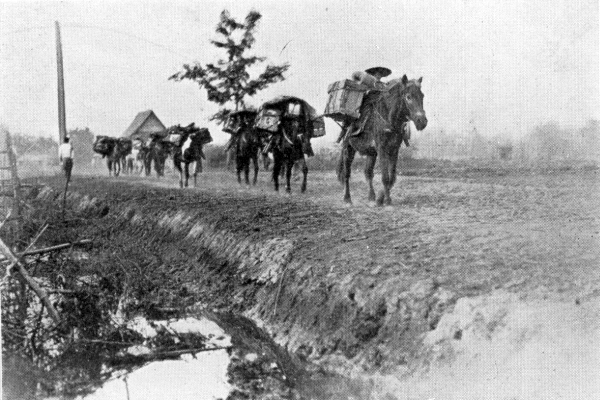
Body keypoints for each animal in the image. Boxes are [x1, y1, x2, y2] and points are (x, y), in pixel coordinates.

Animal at [338, 76, 426, 206]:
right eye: (408, 96)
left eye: (422, 95)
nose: (422, 121)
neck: (388, 119)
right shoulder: (382, 149)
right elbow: (385, 177)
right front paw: (387, 201)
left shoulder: (394, 150)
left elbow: (392, 177)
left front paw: (380, 198)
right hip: (348, 148)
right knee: (346, 173)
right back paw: (347, 198)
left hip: (371, 153)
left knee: (368, 173)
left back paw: (371, 197)